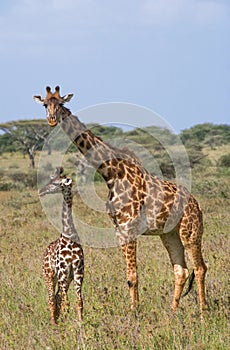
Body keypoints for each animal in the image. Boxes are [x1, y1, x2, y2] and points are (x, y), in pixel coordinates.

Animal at [39, 168, 84, 324]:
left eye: (56, 183)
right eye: (51, 180)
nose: (41, 191)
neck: (68, 236)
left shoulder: (77, 274)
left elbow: (79, 302)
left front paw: (81, 324)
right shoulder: (62, 274)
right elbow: (67, 303)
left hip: (65, 279)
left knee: (57, 297)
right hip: (49, 275)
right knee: (51, 299)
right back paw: (54, 324)